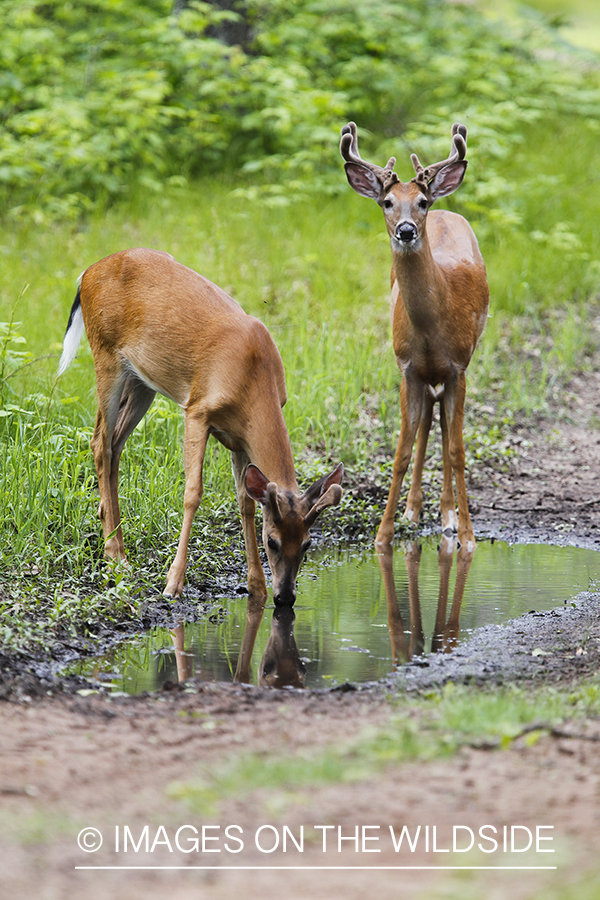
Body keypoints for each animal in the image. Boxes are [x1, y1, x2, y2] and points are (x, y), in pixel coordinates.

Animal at [60, 248, 344, 604]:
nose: (286, 597)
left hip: (142, 381)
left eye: (307, 543)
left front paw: (257, 586)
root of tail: (86, 273)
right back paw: (116, 555)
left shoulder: (240, 438)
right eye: (272, 541)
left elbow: (245, 502)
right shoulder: (197, 410)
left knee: (114, 444)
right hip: (106, 353)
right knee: (100, 441)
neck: (253, 378)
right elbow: (192, 492)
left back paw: (114, 539)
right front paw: (173, 583)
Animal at [340, 121, 490, 548]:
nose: (406, 230)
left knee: (443, 424)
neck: (431, 325)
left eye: (420, 201)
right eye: (387, 202)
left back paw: (448, 515)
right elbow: (401, 452)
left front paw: (468, 536)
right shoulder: (407, 367)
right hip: (422, 374)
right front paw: (383, 533)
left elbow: (457, 450)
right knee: (427, 422)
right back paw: (416, 509)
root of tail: (448, 209)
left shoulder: (458, 367)